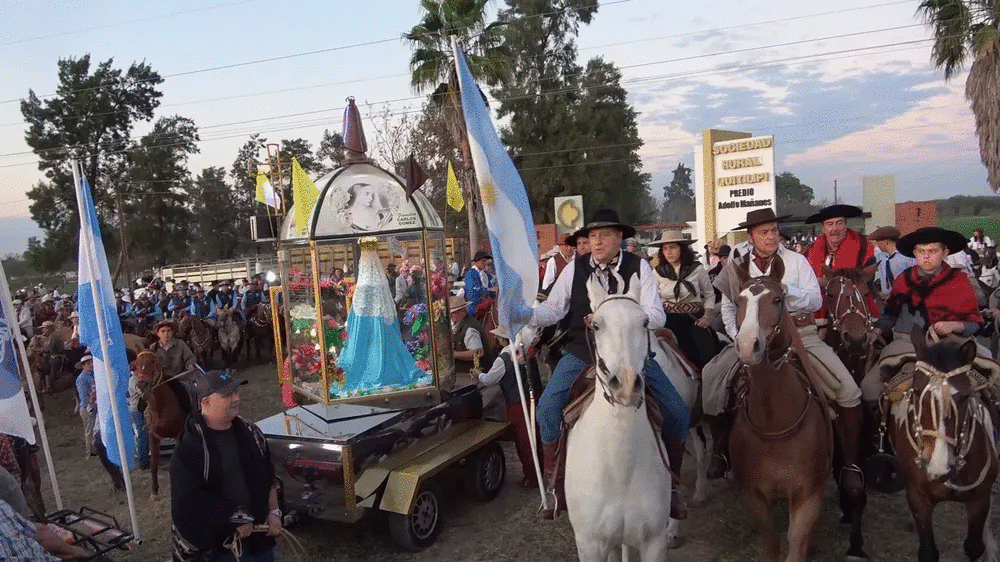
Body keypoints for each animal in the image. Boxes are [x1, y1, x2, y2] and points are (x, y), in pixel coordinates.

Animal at [132, 352, 192, 492]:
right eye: (137, 363)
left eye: (153, 361)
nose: (142, 385)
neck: (162, 407)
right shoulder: (153, 435)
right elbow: (154, 464)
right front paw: (154, 490)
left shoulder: (179, 436)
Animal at [568, 274, 676, 560]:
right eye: (596, 325)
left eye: (645, 322)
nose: (626, 385)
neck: (620, 469)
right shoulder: (590, 545)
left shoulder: (654, 542)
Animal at [728, 258, 860, 560]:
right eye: (738, 301)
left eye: (778, 299)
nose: (748, 345)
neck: (774, 422)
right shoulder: (754, 498)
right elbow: (771, 544)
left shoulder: (808, 497)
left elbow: (797, 543)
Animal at [884, 334, 1000, 556]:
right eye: (916, 391)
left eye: (965, 396)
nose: (939, 467)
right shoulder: (919, 498)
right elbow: (928, 551)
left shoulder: (979, 499)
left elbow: (974, 546)